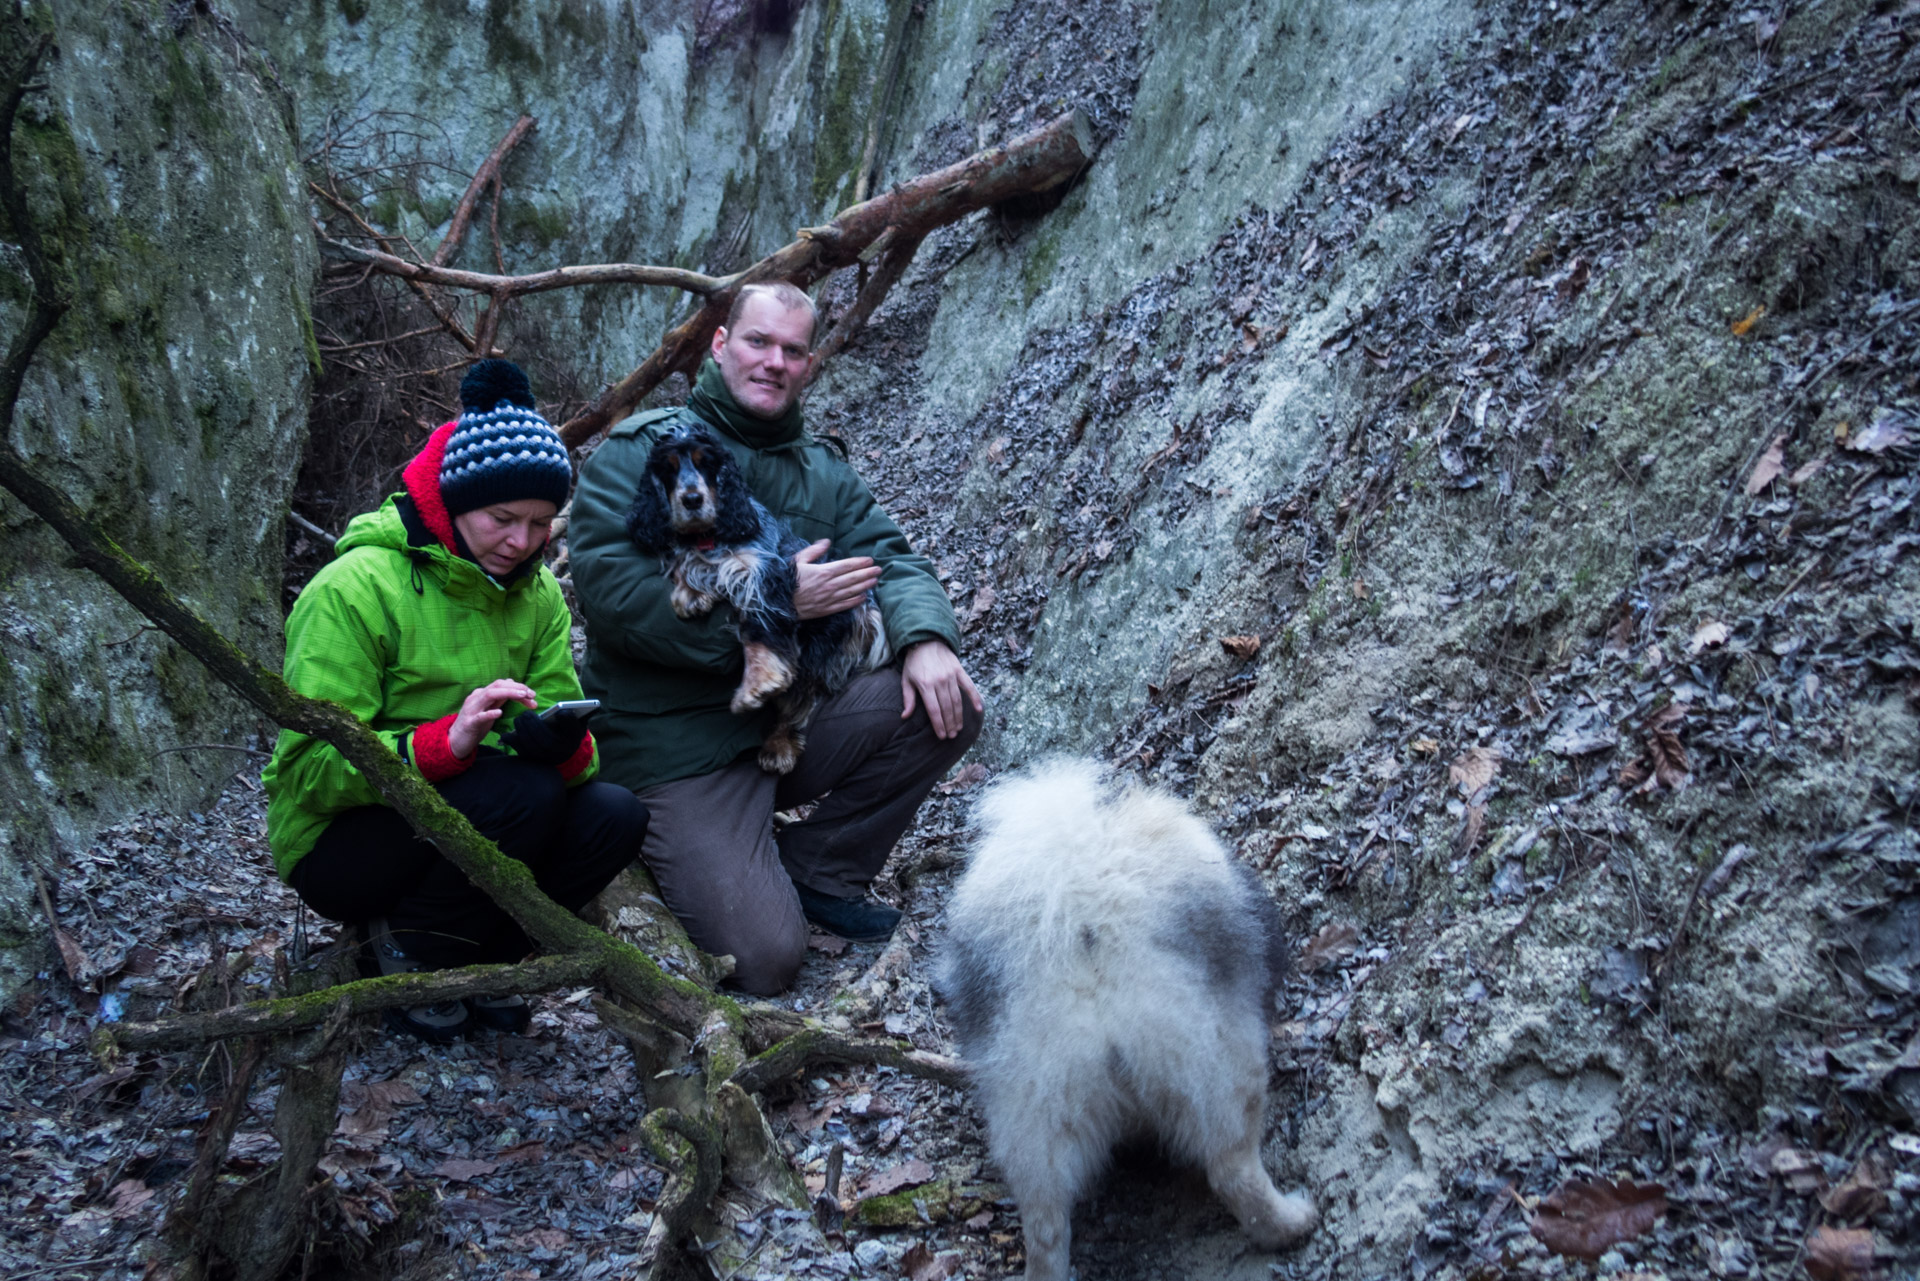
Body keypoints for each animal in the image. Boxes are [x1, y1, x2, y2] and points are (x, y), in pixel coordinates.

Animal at [936, 756, 1313, 1275]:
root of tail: (1088, 931)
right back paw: (1291, 1223)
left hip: (1032, 1110)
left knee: (1046, 1226)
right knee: (1233, 1169)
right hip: (1216, 1062)